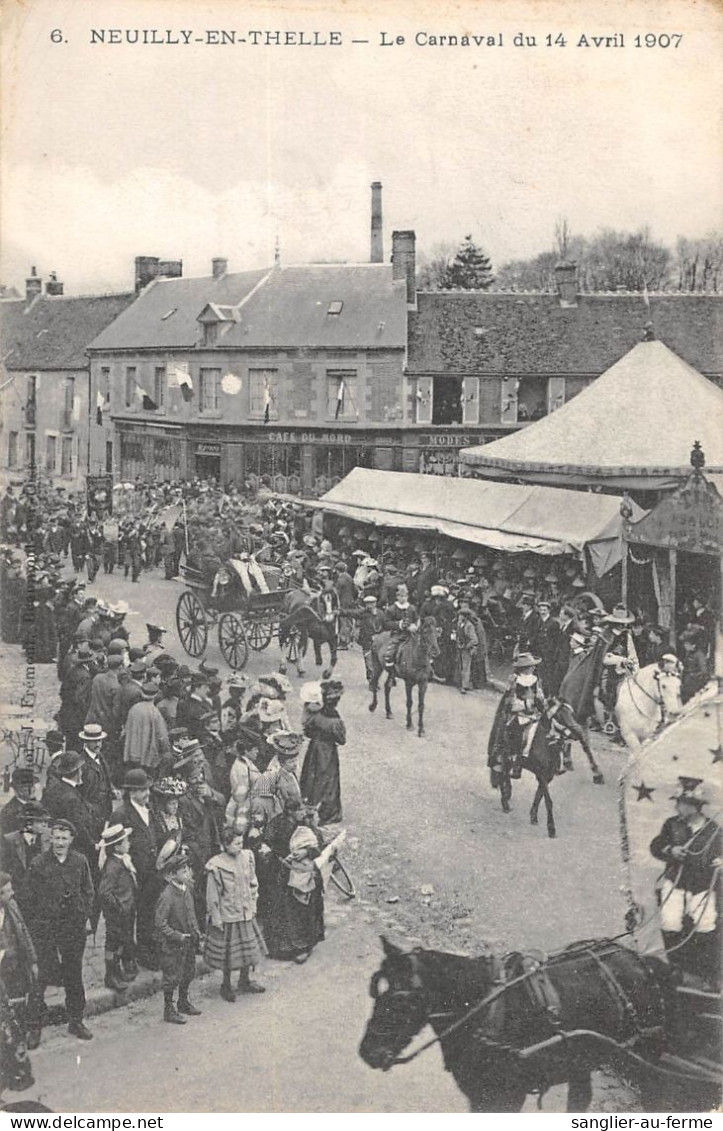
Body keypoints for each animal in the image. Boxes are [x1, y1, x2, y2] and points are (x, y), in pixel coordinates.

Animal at [359, 936, 696, 1112]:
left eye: (406, 1000)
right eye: (375, 990)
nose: (368, 1053)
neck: (485, 1008)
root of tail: (642, 962)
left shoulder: (506, 1096)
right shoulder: (478, 1096)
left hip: (645, 1057)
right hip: (583, 1056)